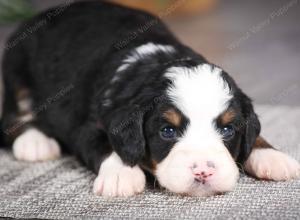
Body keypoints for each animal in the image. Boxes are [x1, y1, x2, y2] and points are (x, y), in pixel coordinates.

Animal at [1, 0, 300, 197]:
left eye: (227, 130)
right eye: (167, 131)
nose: (203, 171)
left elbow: (255, 136)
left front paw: (272, 156)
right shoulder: (85, 124)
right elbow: (104, 144)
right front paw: (121, 175)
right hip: (16, 71)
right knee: (11, 117)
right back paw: (35, 143)